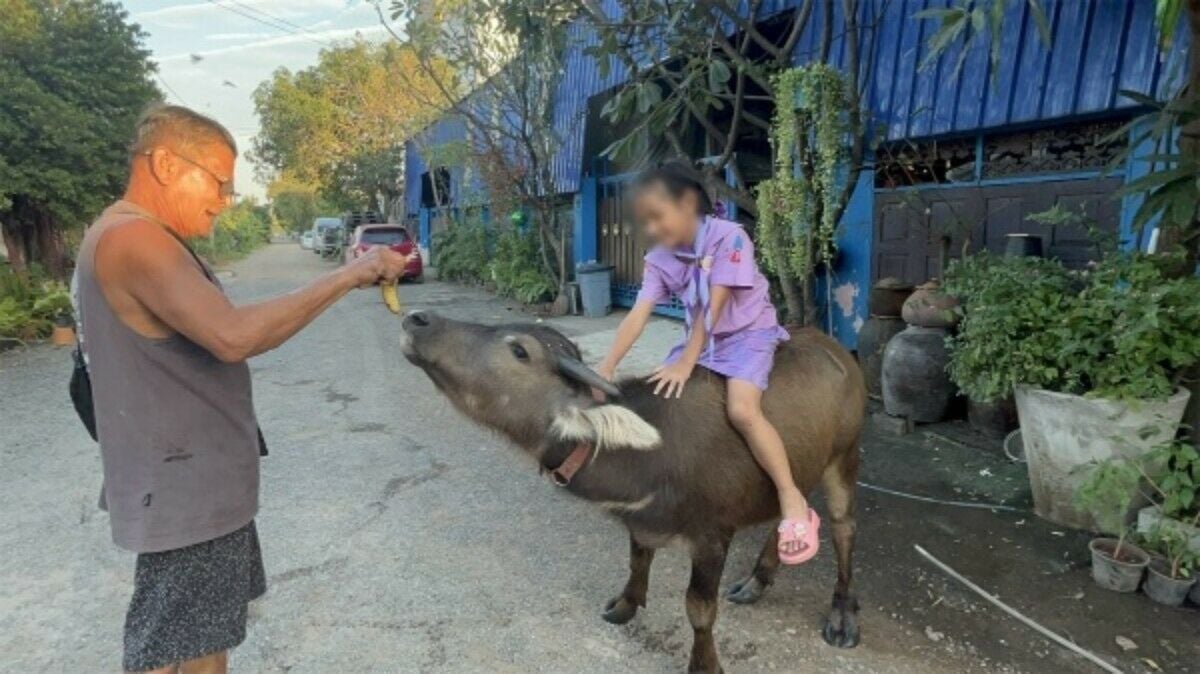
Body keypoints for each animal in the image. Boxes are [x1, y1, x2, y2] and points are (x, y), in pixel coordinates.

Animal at [400, 311, 864, 671]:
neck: (651, 454)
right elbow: (638, 560)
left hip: (844, 456)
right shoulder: (640, 524)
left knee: (843, 527)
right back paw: (755, 582)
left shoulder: (713, 537)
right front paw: (626, 604)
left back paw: (842, 616)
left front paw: (704, 664)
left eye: (519, 350)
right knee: (790, 506)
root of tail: (842, 354)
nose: (418, 319)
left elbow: (699, 609)